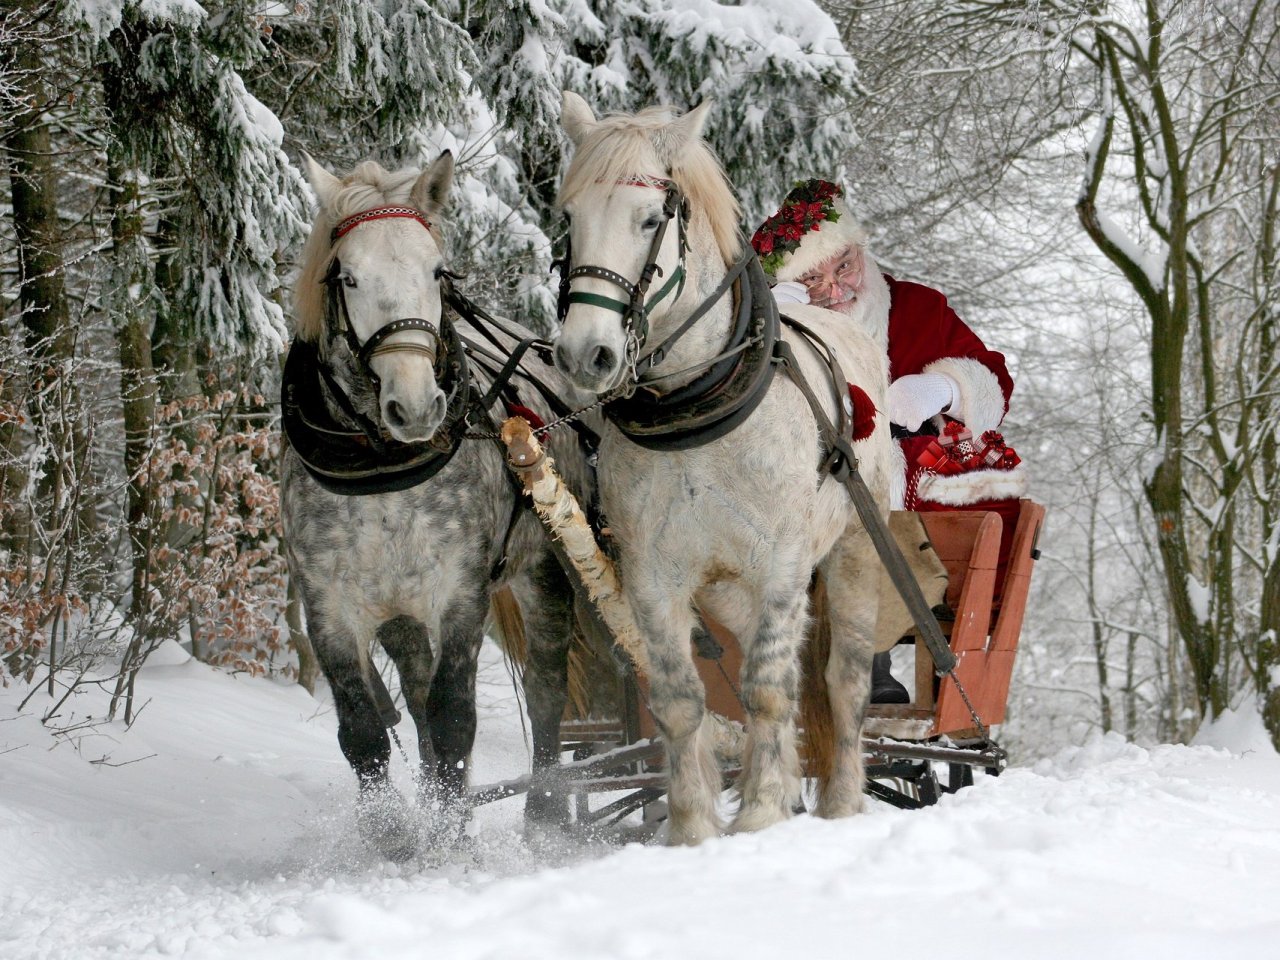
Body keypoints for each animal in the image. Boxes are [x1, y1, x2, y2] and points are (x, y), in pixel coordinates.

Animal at [282, 154, 591, 860]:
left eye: (436, 272)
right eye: (348, 276)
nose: (418, 406)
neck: (381, 468)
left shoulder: (460, 593)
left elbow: (455, 719)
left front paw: (451, 838)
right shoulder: (328, 606)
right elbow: (364, 729)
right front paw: (394, 831)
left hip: (545, 570)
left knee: (546, 688)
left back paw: (544, 813)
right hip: (398, 612)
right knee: (417, 695)